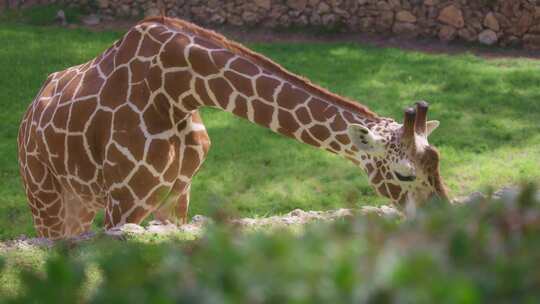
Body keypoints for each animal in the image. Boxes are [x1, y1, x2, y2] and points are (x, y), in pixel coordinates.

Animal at [16, 17, 448, 240]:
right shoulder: (124, 201)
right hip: (43, 195)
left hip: (80, 201)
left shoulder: (178, 195)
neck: (178, 89)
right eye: (404, 173)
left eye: (437, 163)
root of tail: (28, 115)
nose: (442, 219)